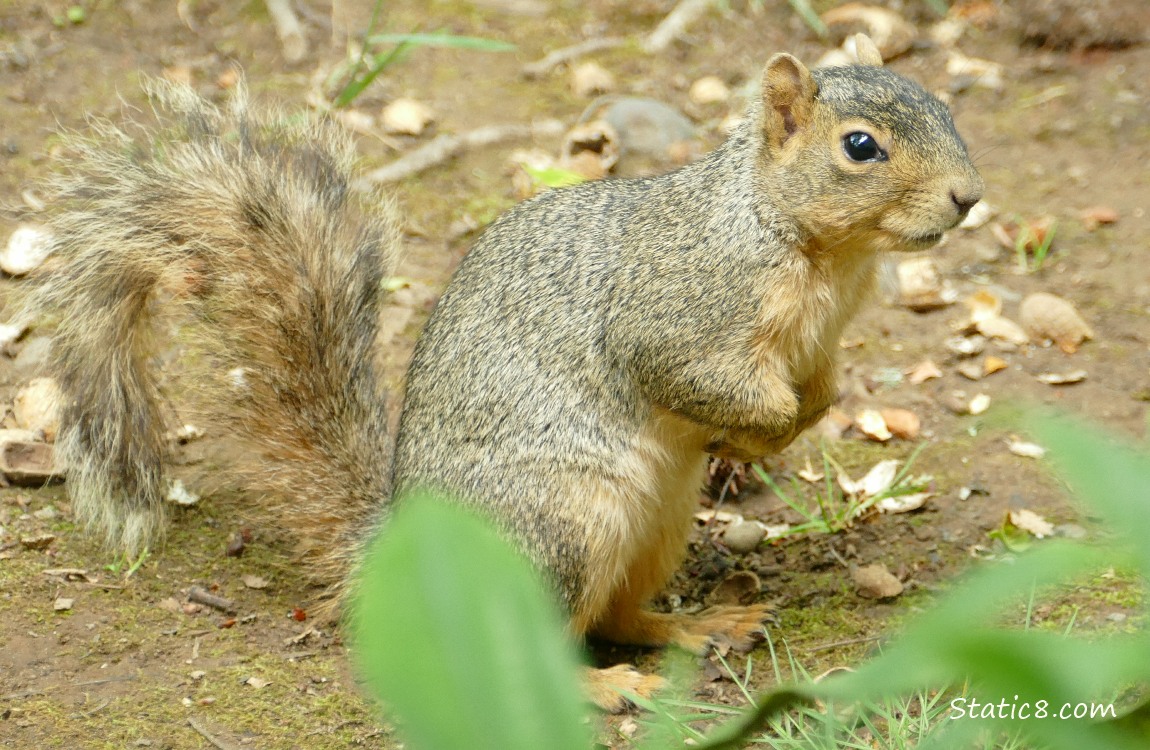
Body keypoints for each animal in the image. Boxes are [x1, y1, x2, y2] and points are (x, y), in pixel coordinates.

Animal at [24, 35, 979, 713]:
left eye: (945, 109)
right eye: (861, 147)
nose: (969, 197)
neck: (815, 250)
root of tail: (408, 551)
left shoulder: (822, 339)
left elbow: (822, 389)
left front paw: (787, 426)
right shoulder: (674, 317)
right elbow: (698, 379)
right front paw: (759, 430)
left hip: (652, 525)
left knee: (618, 616)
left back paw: (700, 625)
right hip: (558, 526)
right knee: (541, 644)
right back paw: (606, 688)